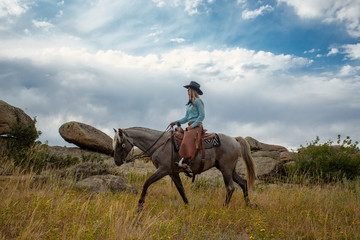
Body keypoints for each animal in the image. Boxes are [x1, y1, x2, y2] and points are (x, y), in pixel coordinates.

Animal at [112, 126, 256, 209]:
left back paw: (224, 207)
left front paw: (140, 205)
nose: (117, 161)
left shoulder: (163, 170)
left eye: (119, 143)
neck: (160, 144)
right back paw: (249, 204)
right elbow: (181, 189)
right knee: (243, 182)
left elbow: (147, 183)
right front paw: (187, 206)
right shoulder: (173, 173)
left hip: (226, 169)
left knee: (230, 187)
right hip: (230, 169)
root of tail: (234, 139)